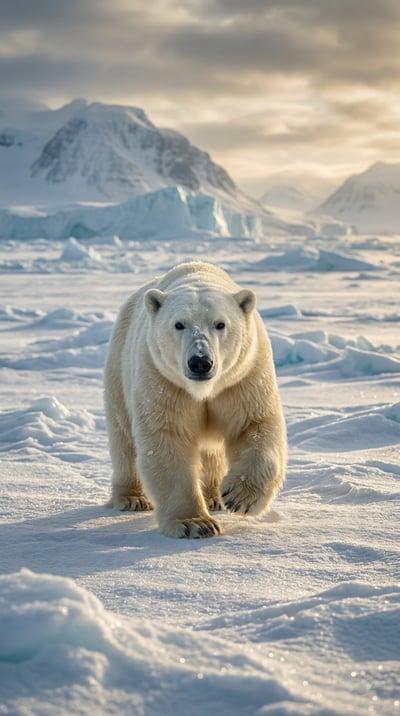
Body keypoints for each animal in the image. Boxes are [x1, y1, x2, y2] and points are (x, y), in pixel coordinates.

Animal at [104, 261, 286, 538]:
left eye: (220, 324)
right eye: (179, 324)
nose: (200, 361)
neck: (203, 390)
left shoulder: (243, 378)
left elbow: (254, 425)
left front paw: (239, 497)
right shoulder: (164, 382)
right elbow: (168, 439)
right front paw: (195, 524)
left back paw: (214, 496)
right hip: (119, 369)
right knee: (124, 438)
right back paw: (132, 498)